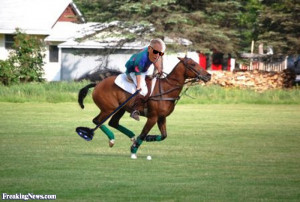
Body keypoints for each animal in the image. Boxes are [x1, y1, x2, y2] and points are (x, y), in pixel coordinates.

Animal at [77, 56, 211, 159]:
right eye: (193, 64)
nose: (208, 76)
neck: (166, 89)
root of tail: (97, 84)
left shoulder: (161, 117)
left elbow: (163, 135)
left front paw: (148, 138)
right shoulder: (153, 117)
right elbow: (143, 133)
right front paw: (133, 150)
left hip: (120, 109)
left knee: (113, 122)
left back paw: (130, 136)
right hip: (109, 108)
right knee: (97, 121)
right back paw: (109, 139)